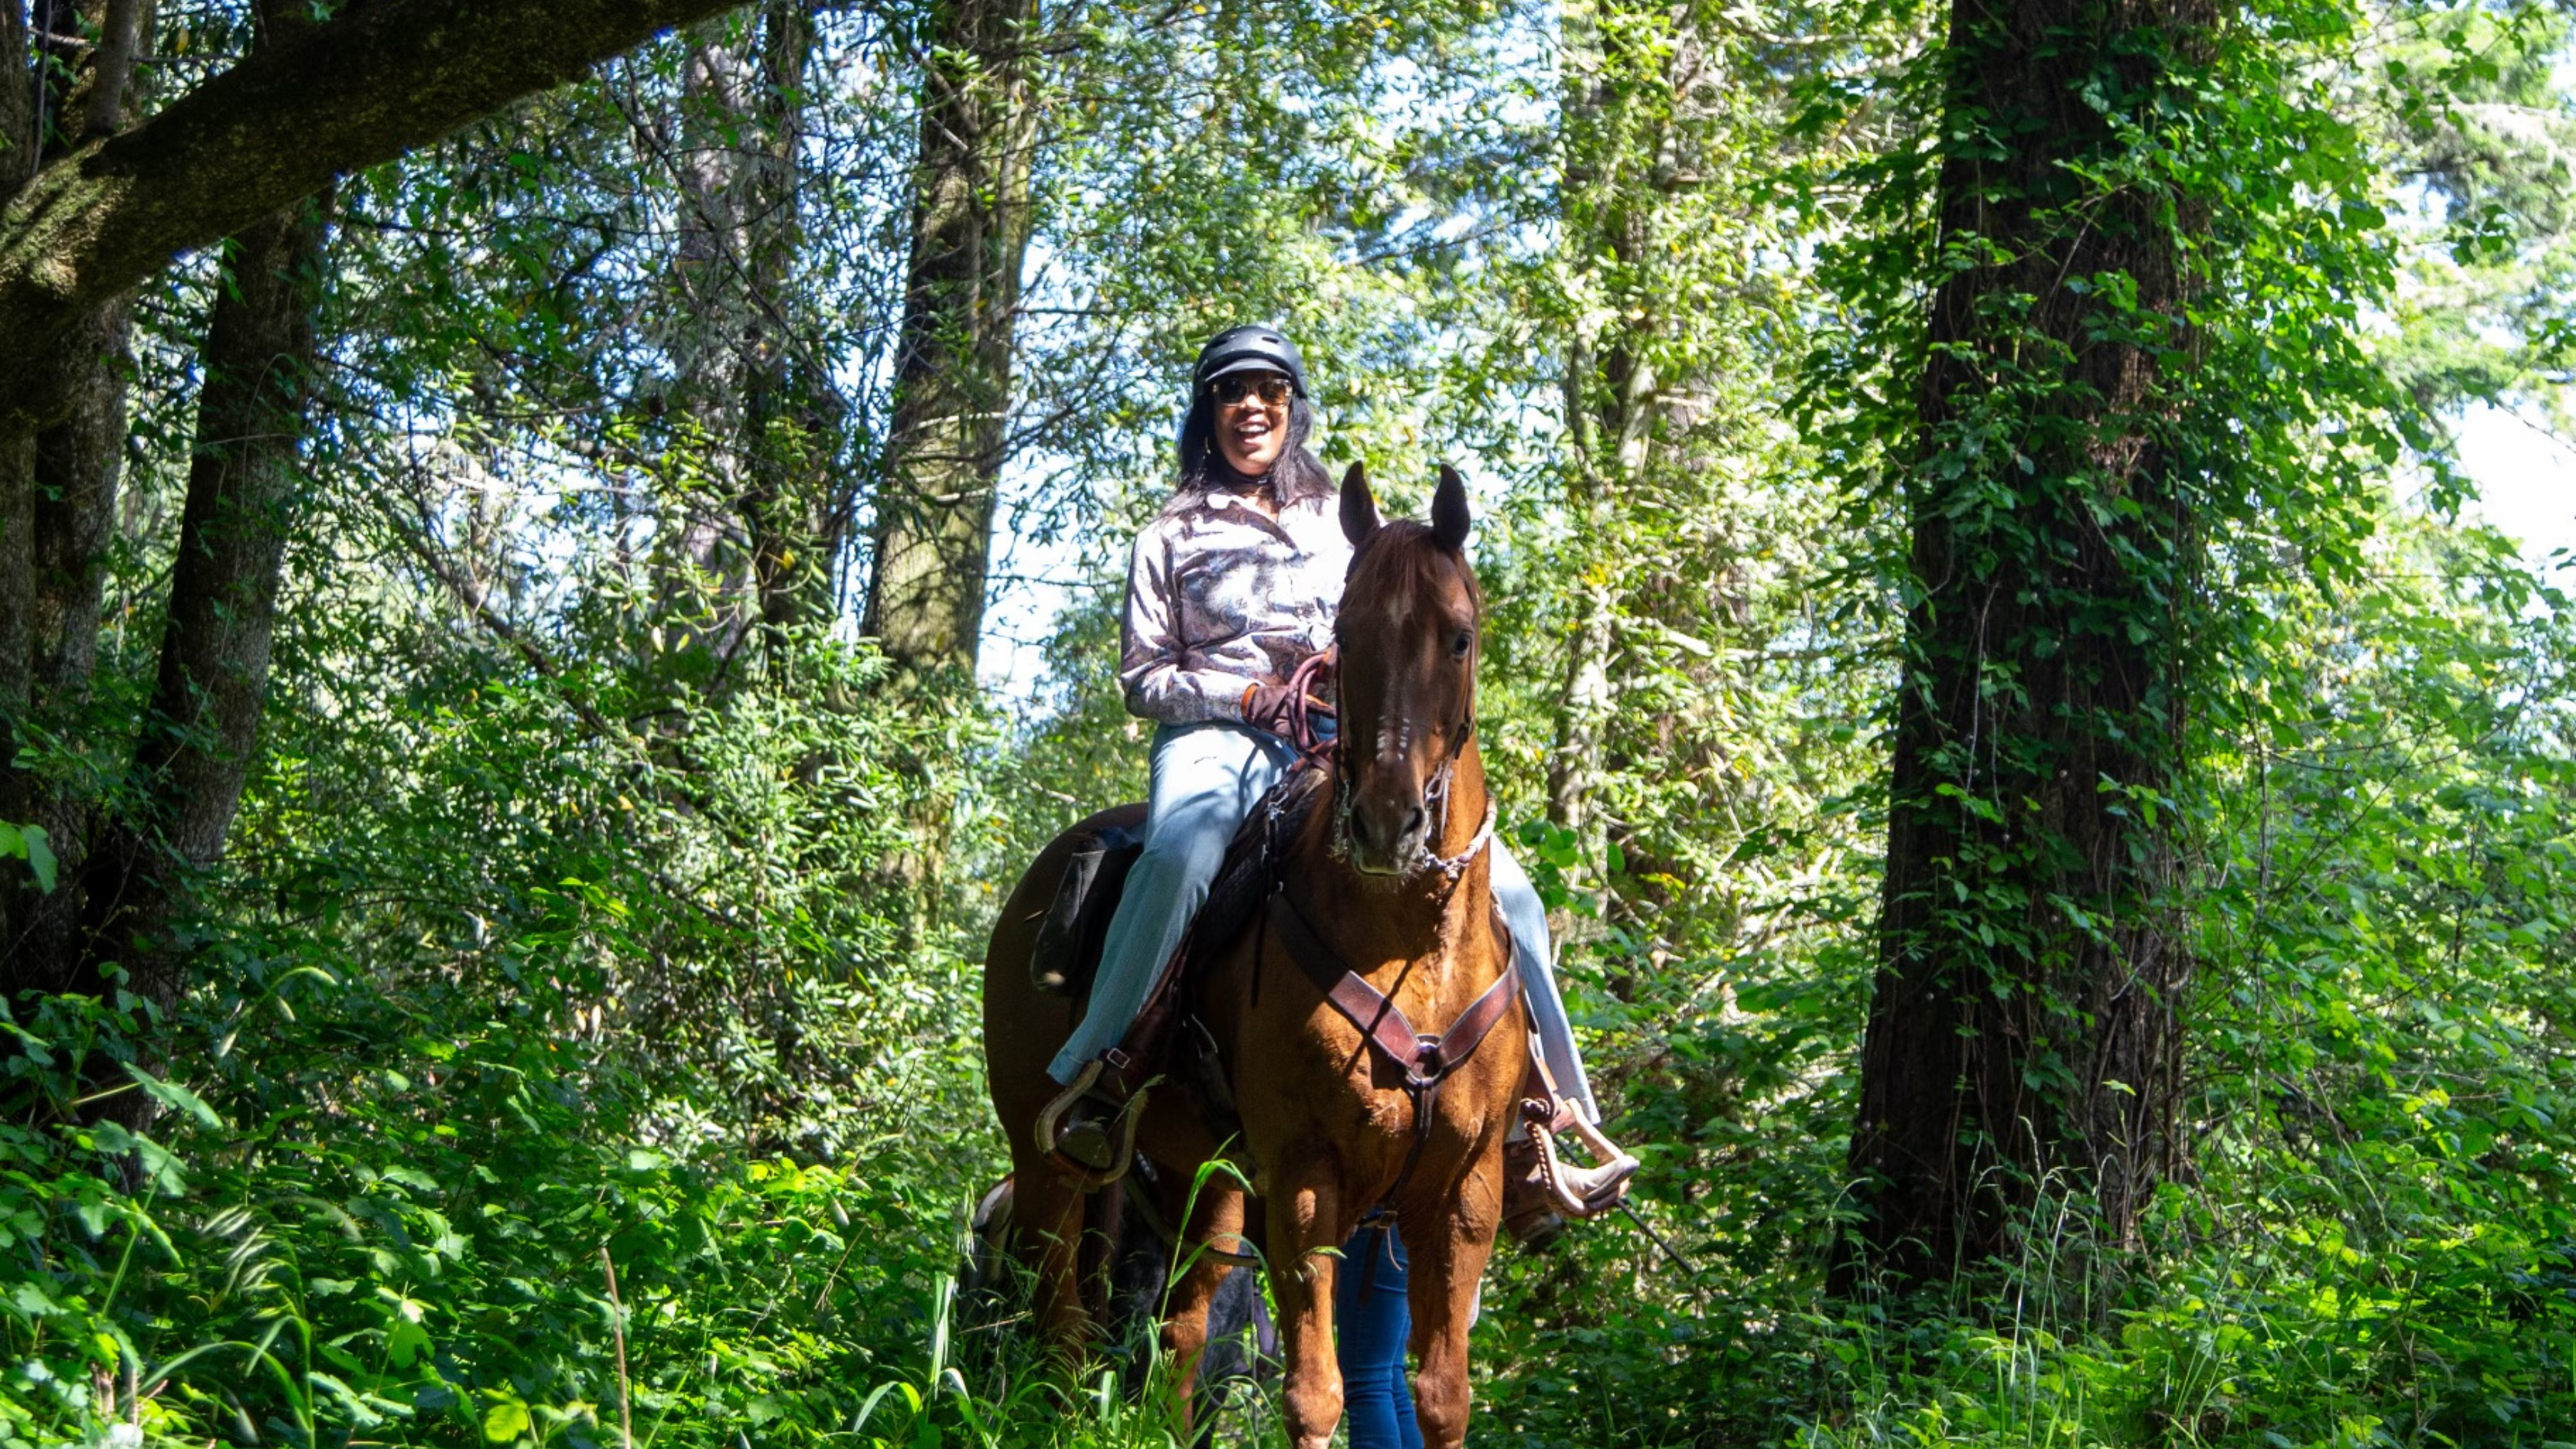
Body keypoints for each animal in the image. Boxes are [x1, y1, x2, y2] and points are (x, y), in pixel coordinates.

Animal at [974, 461, 1514, 1444]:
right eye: (1346, 635)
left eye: (1458, 638)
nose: (1386, 824)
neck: (1410, 950)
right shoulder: (1306, 1177)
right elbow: (1315, 1394)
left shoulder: (1465, 1191)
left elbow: (1442, 1399)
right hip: (1047, 1161)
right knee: (1059, 1321)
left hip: (1205, 1175)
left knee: (1180, 1336)